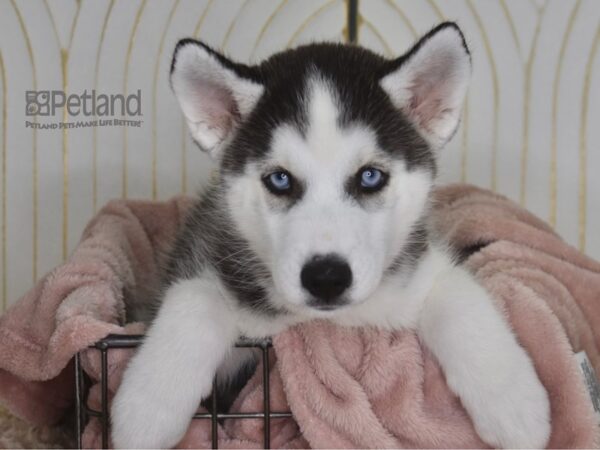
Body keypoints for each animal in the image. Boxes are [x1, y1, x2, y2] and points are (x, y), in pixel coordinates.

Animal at [110, 22, 552, 448]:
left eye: (370, 176)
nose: (325, 278)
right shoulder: (210, 248)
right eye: (280, 179)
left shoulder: (418, 270)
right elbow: (195, 298)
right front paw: (145, 410)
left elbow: (459, 295)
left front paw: (515, 402)